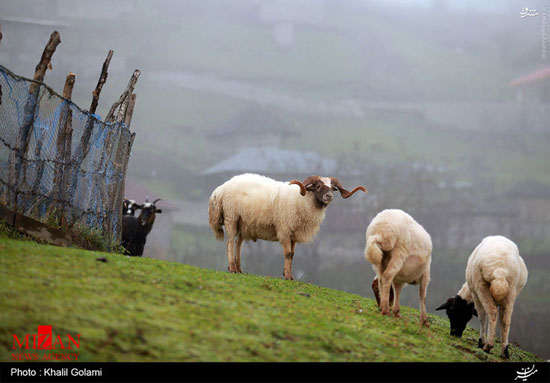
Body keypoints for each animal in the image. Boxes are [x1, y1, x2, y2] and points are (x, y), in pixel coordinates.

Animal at [209, 173, 368, 280]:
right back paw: (231, 268)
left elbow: (292, 255)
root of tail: (220, 190)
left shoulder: (294, 235)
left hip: (242, 223)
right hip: (231, 217)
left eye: (333, 188)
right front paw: (287, 276)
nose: (329, 196)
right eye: (317, 186)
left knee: (238, 244)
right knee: (230, 243)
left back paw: (239, 268)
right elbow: (287, 253)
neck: (302, 200)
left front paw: (289, 275)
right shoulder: (284, 230)